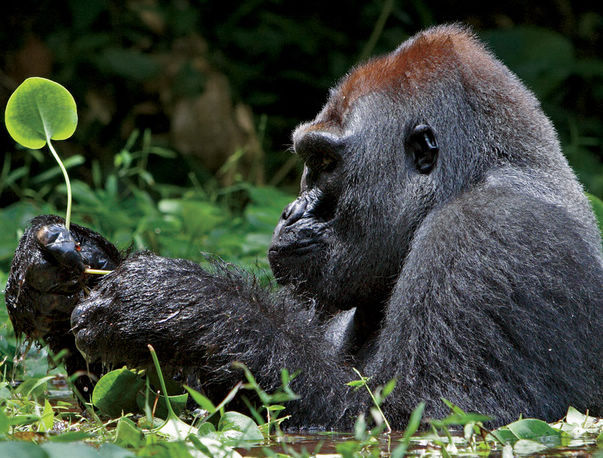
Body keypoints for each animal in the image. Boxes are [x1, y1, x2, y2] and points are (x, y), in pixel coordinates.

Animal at [4, 26, 603, 430]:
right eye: (308, 162)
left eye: (326, 163)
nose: (290, 211)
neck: (472, 174)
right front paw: (57, 274)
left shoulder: (489, 235)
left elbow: (416, 417)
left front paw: (178, 306)